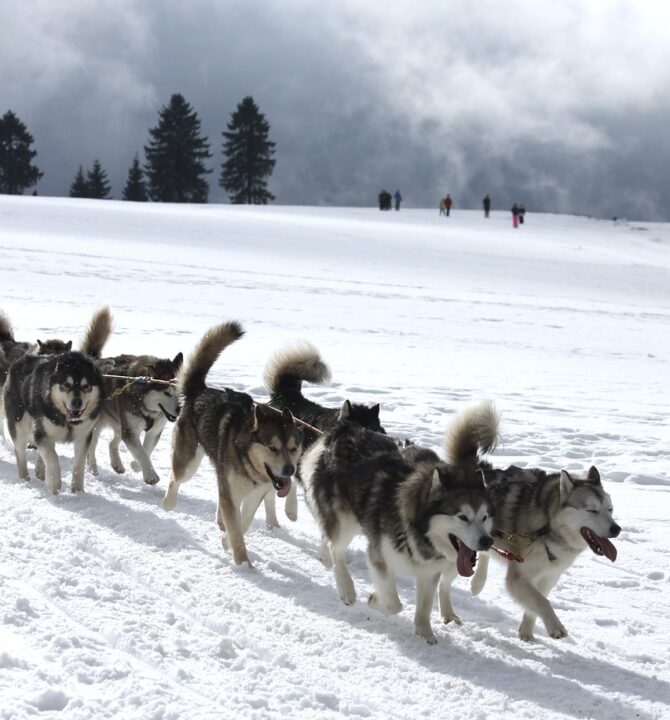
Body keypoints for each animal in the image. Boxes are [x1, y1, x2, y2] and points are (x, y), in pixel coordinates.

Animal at [2, 304, 111, 496]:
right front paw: (54, 484)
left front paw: (78, 491)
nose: (77, 402)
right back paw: (25, 479)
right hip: (19, 423)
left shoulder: (83, 435)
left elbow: (78, 465)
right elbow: (52, 458)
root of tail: (20, 360)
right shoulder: (43, 433)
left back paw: (39, 470)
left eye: (86, 386)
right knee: (20, 452)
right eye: (66, 385)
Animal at [89, 352, 185, 486]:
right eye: (167, 393)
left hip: (119, 424)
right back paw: (92, 468)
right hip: (96, 425)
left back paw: (117, 464)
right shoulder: (131, 431)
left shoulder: (154, 430)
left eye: (181, 392)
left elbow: (146, 450)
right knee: (90, 447)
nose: (180, 410)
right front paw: (151, 476)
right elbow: (142, 453)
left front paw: (136, 465)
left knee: (112, 442)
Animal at [300, 396, 498, 644]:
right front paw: (374, 600)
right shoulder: (379, 556)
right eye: (462, 517)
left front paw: (425, 633)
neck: (417, 530)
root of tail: (348, 429)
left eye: (484, 517)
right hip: (345, 520)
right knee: (335, 547)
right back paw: (346, 587)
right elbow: (394, 604)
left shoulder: (430, 571)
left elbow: (424, 606)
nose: (487, 542)